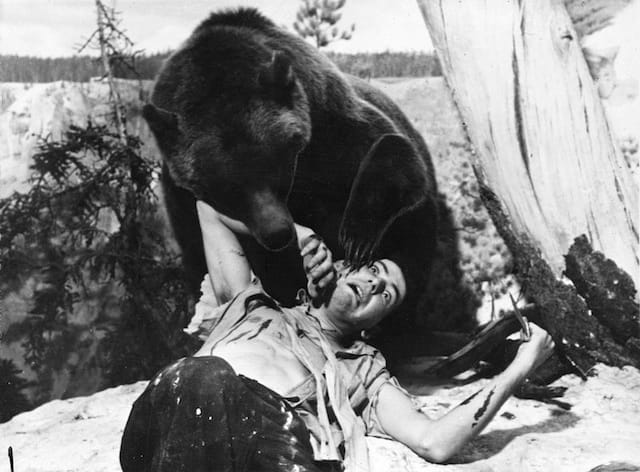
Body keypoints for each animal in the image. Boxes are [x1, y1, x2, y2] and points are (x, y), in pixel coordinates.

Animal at [143, 8, 440, 332]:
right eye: (225, 190)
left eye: (274, 166)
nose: (277, 233)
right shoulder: (181, 200)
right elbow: (203, 257)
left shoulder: (330, 125)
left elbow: (393, 148)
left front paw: (356, 235)